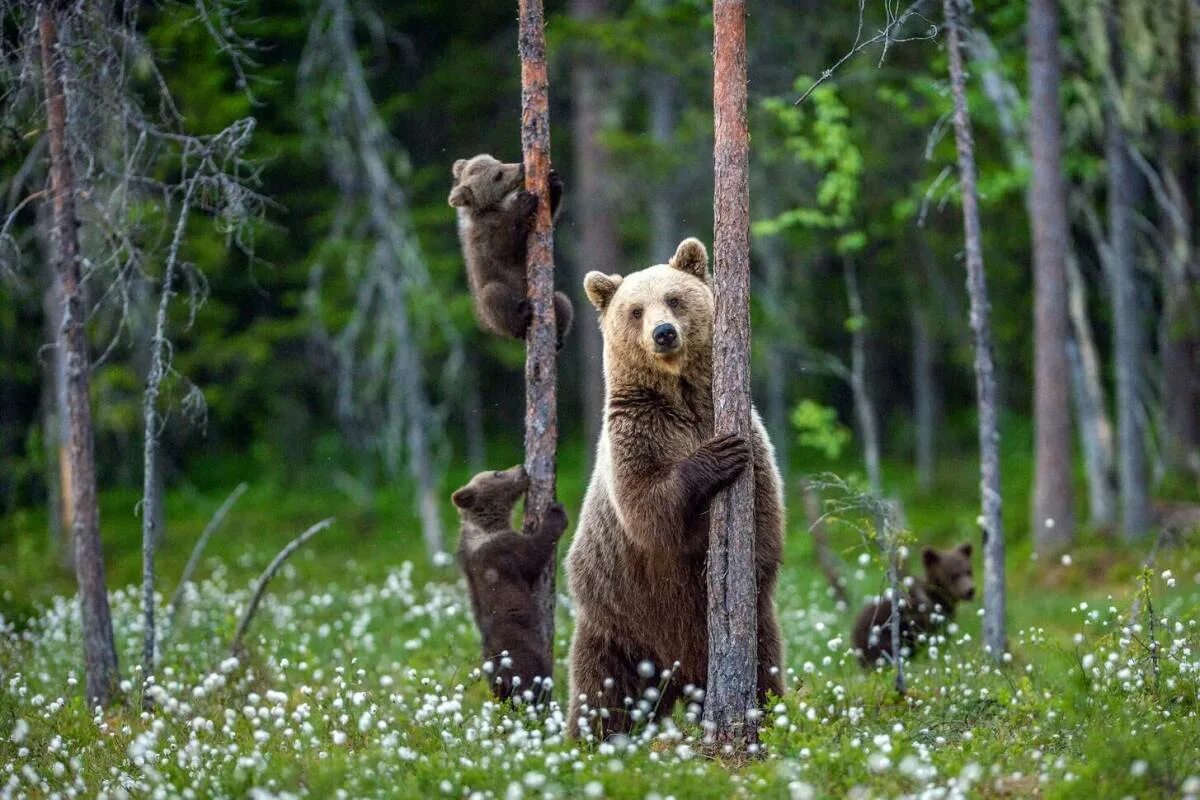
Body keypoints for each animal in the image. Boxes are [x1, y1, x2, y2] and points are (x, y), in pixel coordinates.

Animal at [448, 153, 573, 347]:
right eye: (498, 175)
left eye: (498, 162)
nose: (522, 166)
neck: (494, 207)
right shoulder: (483, 236)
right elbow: (503, 248)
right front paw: (524, 202)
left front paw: (553, 182)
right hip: (491, 305)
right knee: (494, 295)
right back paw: (522, 316)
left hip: (553, 300)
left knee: (562, 301)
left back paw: (558, 338)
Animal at [451, 465, 568, 705]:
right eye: (497, 473)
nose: (522, 468)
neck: (486, 526)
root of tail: (501, 675)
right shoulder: (504, 551)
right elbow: (534, 554)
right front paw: (555, 512)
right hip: (524, 653)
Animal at [564, 236, 787, 738]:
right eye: (635, 309)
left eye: (674, 298)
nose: (663, 332)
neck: (681, 395)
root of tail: (679, 674)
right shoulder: (637, 433)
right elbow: (648, 509)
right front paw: (716, 458)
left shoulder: (747, 431)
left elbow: (764, 513)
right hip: (618, 620)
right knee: (603, 692)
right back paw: (588, 741)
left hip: (750, 631)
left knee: (765, 668)